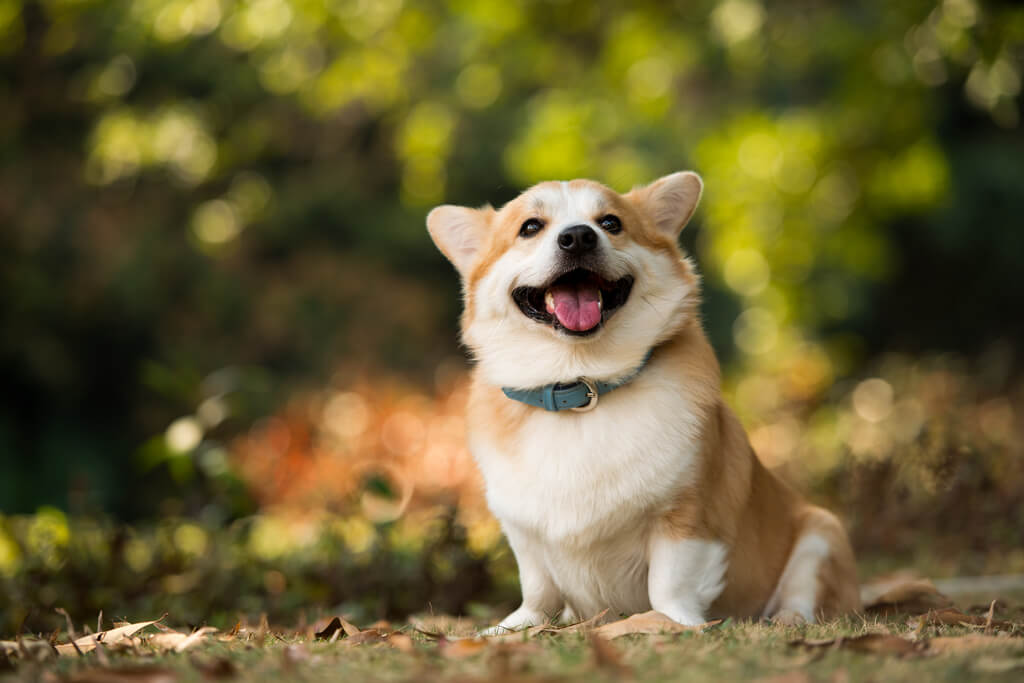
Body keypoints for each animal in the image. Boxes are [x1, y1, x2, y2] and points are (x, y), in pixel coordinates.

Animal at [425, 171, 864, 630]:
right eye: (530, 227)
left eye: (610, 223)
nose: (578, 237)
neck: (582, 384)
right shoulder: (525, 535)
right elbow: (537, 590)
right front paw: (511, 628)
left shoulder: (685, 517)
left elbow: (668, 585)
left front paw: (669, 622)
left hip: (821, 534)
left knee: (803, 593)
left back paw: (787, 619)